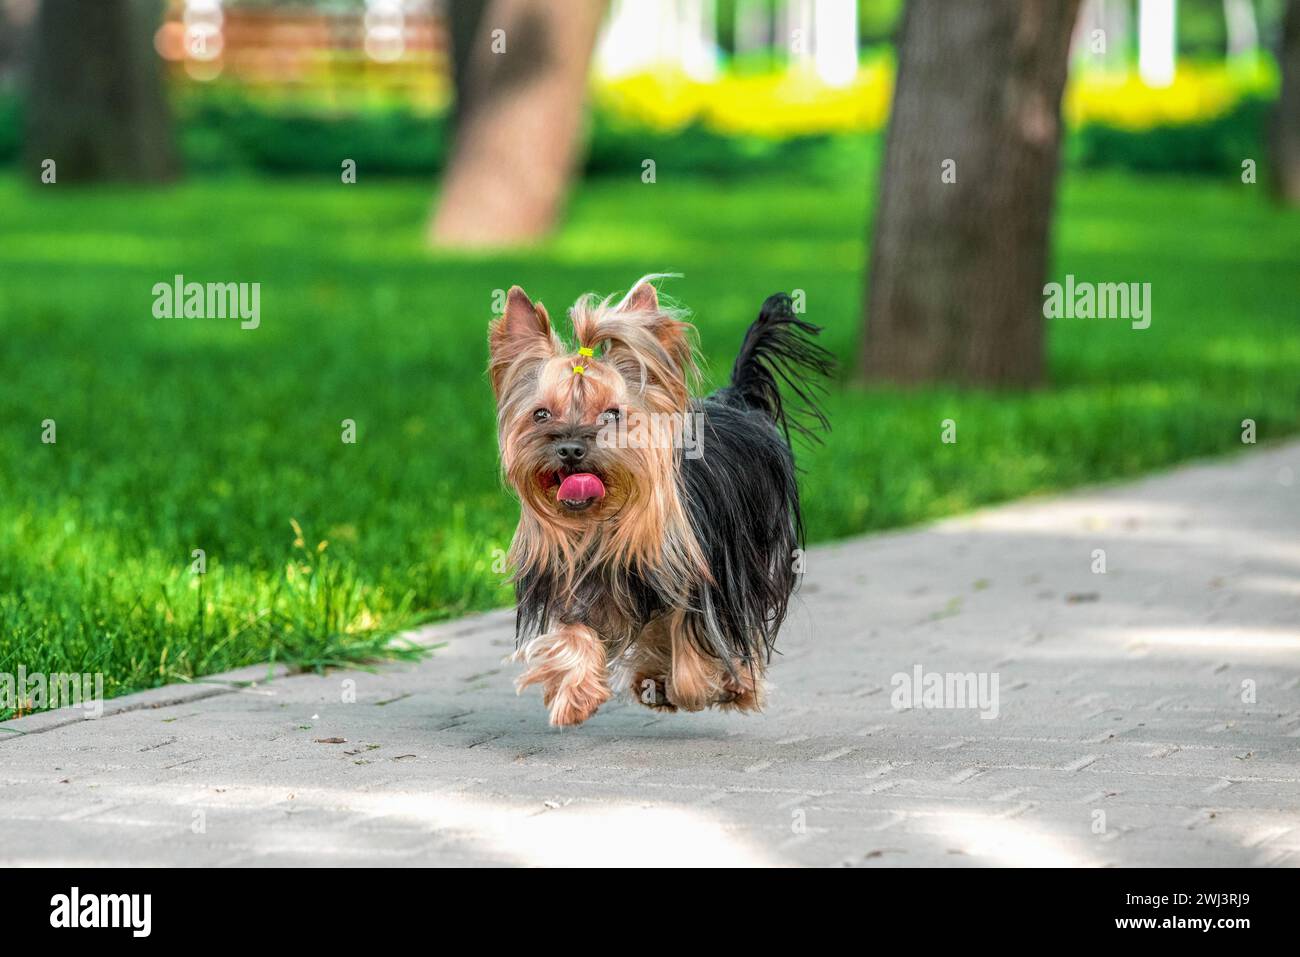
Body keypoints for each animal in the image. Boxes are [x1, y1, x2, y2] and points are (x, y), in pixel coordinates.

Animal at [488, 276, 832, 722]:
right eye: (541, 414)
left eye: (612, 414)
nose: (569, 449)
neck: (601, 523)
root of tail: (734, 400)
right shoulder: (573, 579)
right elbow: (576, 632)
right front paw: (577, 695)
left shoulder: (706, 578)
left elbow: (696, 636)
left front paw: (704, 686)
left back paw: (733, 683)